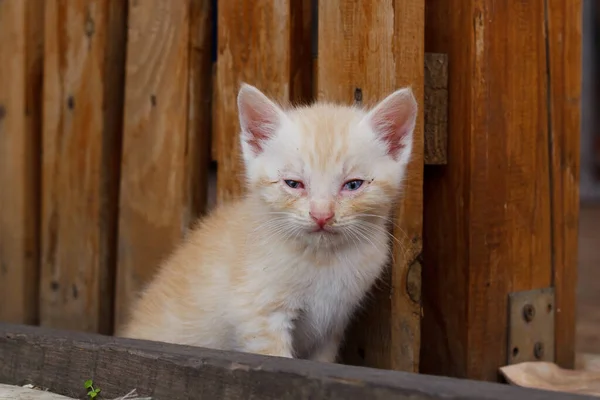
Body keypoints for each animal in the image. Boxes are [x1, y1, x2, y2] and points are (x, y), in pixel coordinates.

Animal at [117, 83, 418, 362]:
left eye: (353, 185)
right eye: (293, 184)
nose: (321, 215)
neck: (324, 259)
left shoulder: (331, 327)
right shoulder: (258, 315)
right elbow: (278, 358)